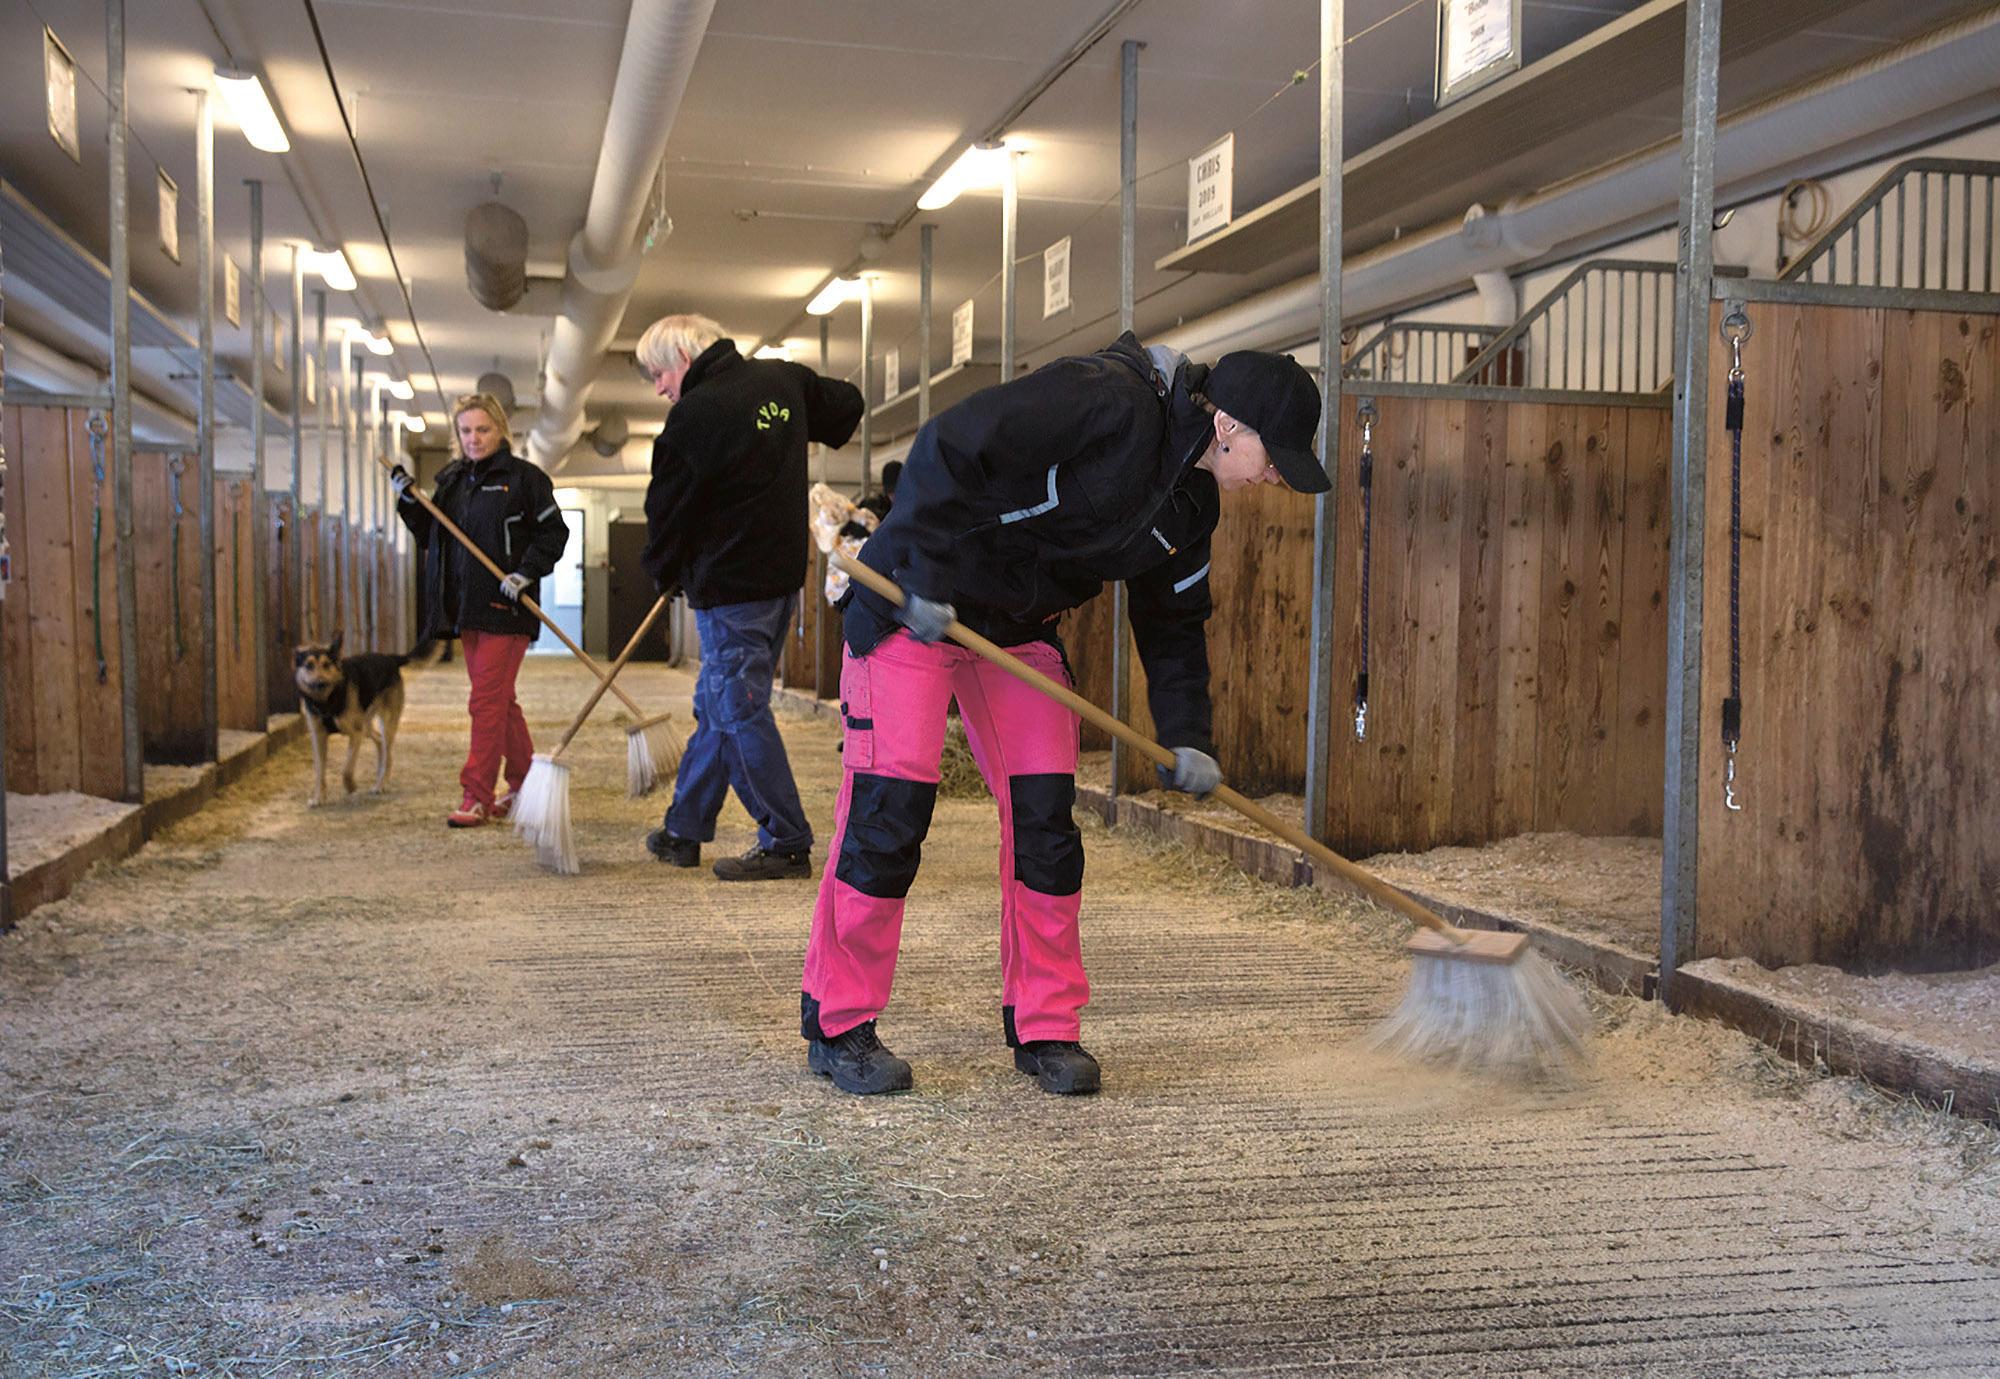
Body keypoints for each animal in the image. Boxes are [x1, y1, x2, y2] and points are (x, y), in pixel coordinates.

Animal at [294, 627, 440, 799]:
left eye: (326, 664)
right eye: (309, 665)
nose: (320, 683)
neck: (327, 701)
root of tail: (391, 658)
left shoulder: (355, 734)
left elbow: (347, 769)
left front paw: (350, 786)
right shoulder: (318, 737)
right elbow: (319, 772)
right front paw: (318, 797)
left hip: (385, 724)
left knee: (387, 753)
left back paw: (380, 784)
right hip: (367, 725)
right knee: (380, 742)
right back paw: (379, 775)